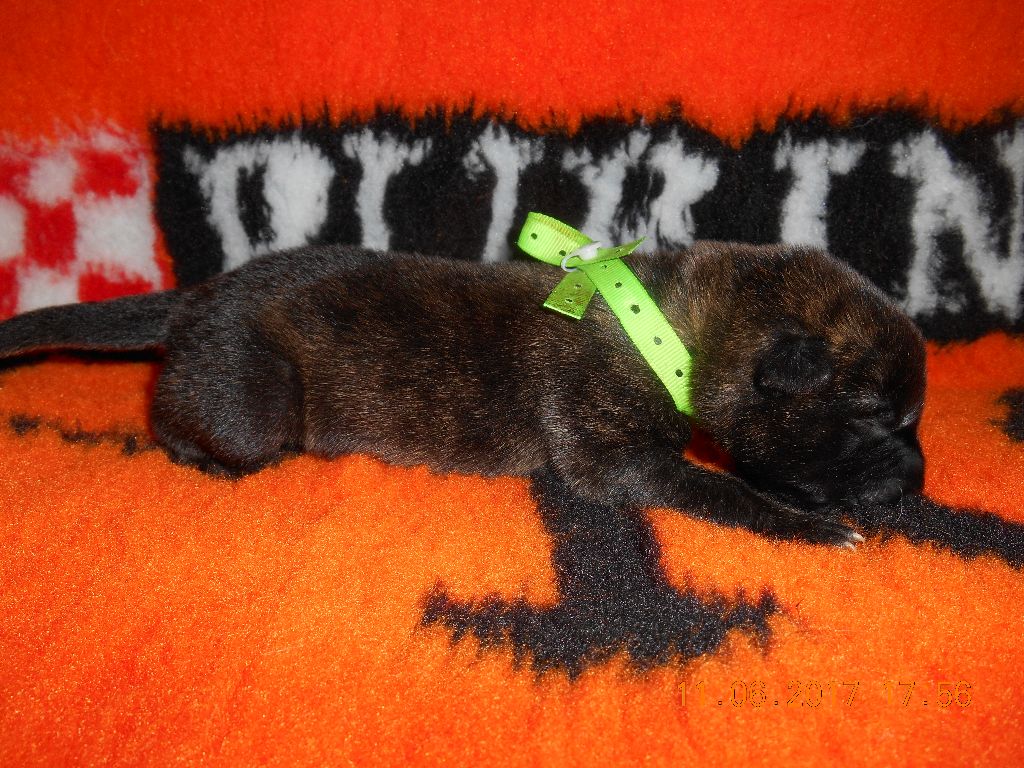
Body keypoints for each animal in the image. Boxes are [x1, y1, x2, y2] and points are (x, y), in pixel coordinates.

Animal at [0, 241, 926, 547]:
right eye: (878, 417)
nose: (919, 487)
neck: (669, 327)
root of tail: (198, 295)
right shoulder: (612, 454)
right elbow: (720, 488)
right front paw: (814, 527)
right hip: (252, 403)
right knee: (175, 414)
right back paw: (199, 457)